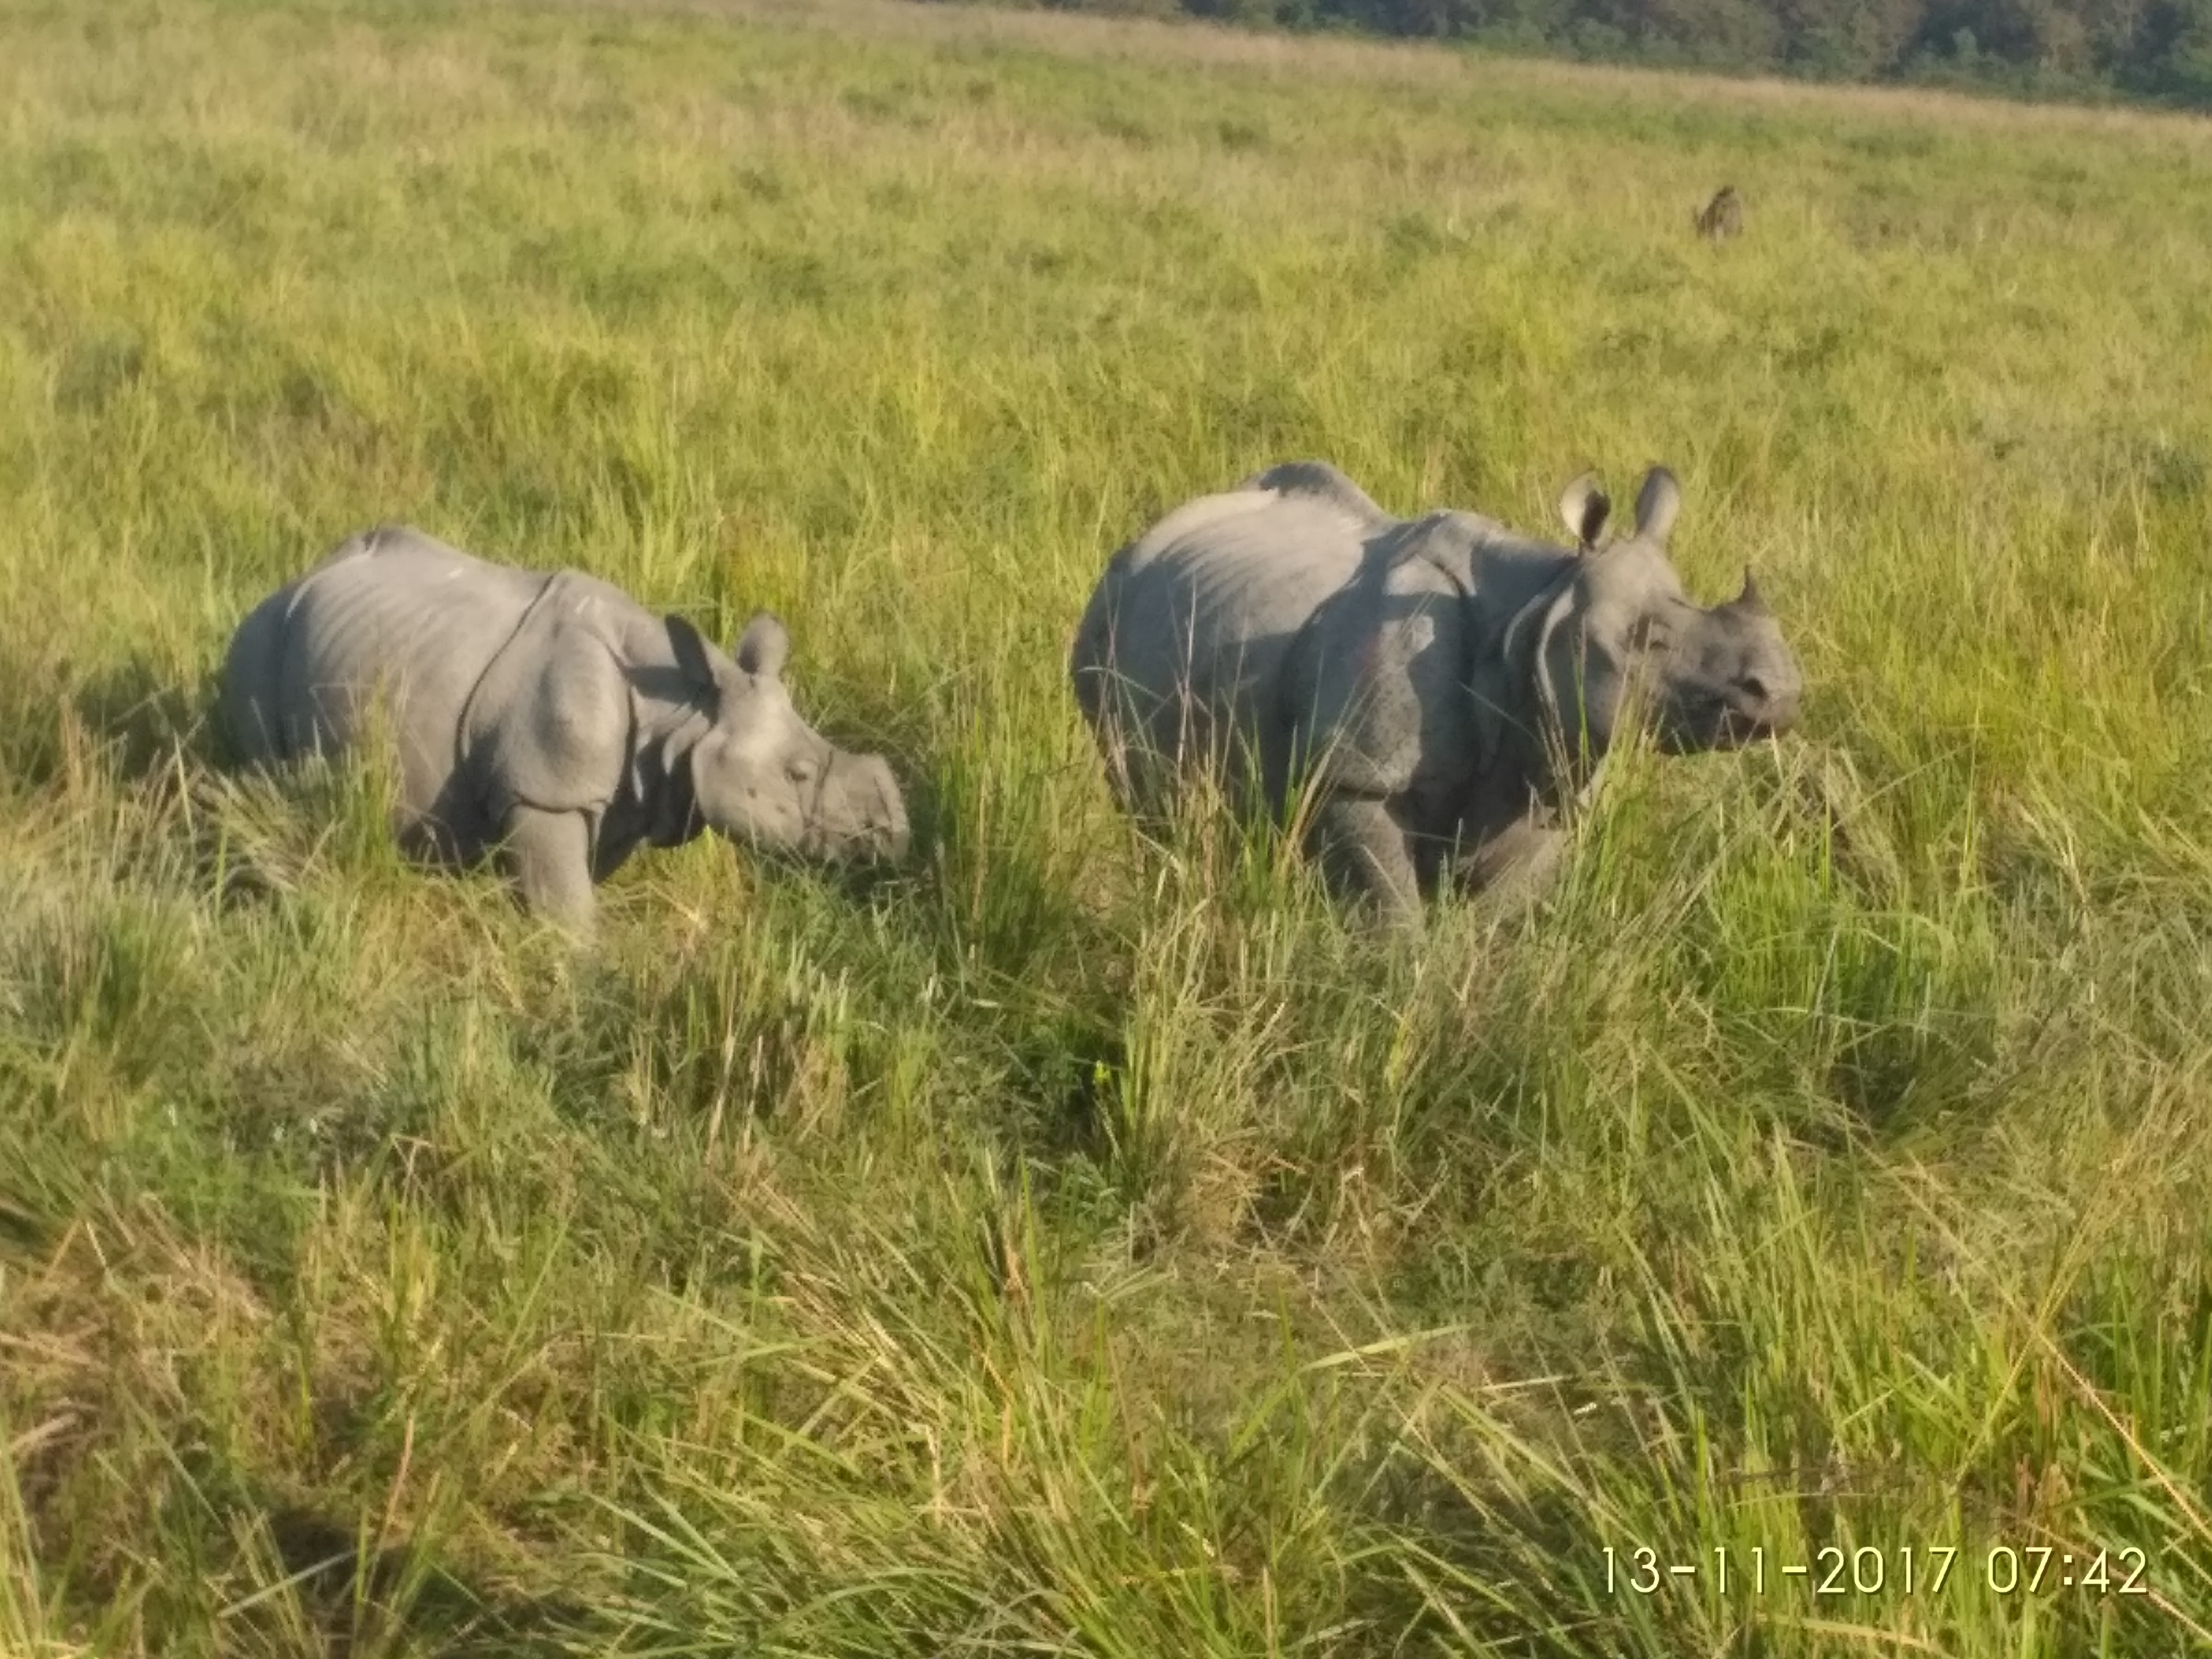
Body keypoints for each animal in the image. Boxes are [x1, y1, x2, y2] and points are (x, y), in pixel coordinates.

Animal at [220, 526, 911, 929]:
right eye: (796, 773)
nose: (896, 835)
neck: (682, 712)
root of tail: (293, 579)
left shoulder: (618, 796)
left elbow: (565, 887)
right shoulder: (543, 790)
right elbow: (569, 911)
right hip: (259, 639)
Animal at [1066, 462, 1796, 924]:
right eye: (1649, 641)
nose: (1783, 693)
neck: (1537, 607)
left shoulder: (1544, 773)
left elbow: (1490, 921)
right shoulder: (1357, 774)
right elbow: (1394, 916)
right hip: (1099, 625)